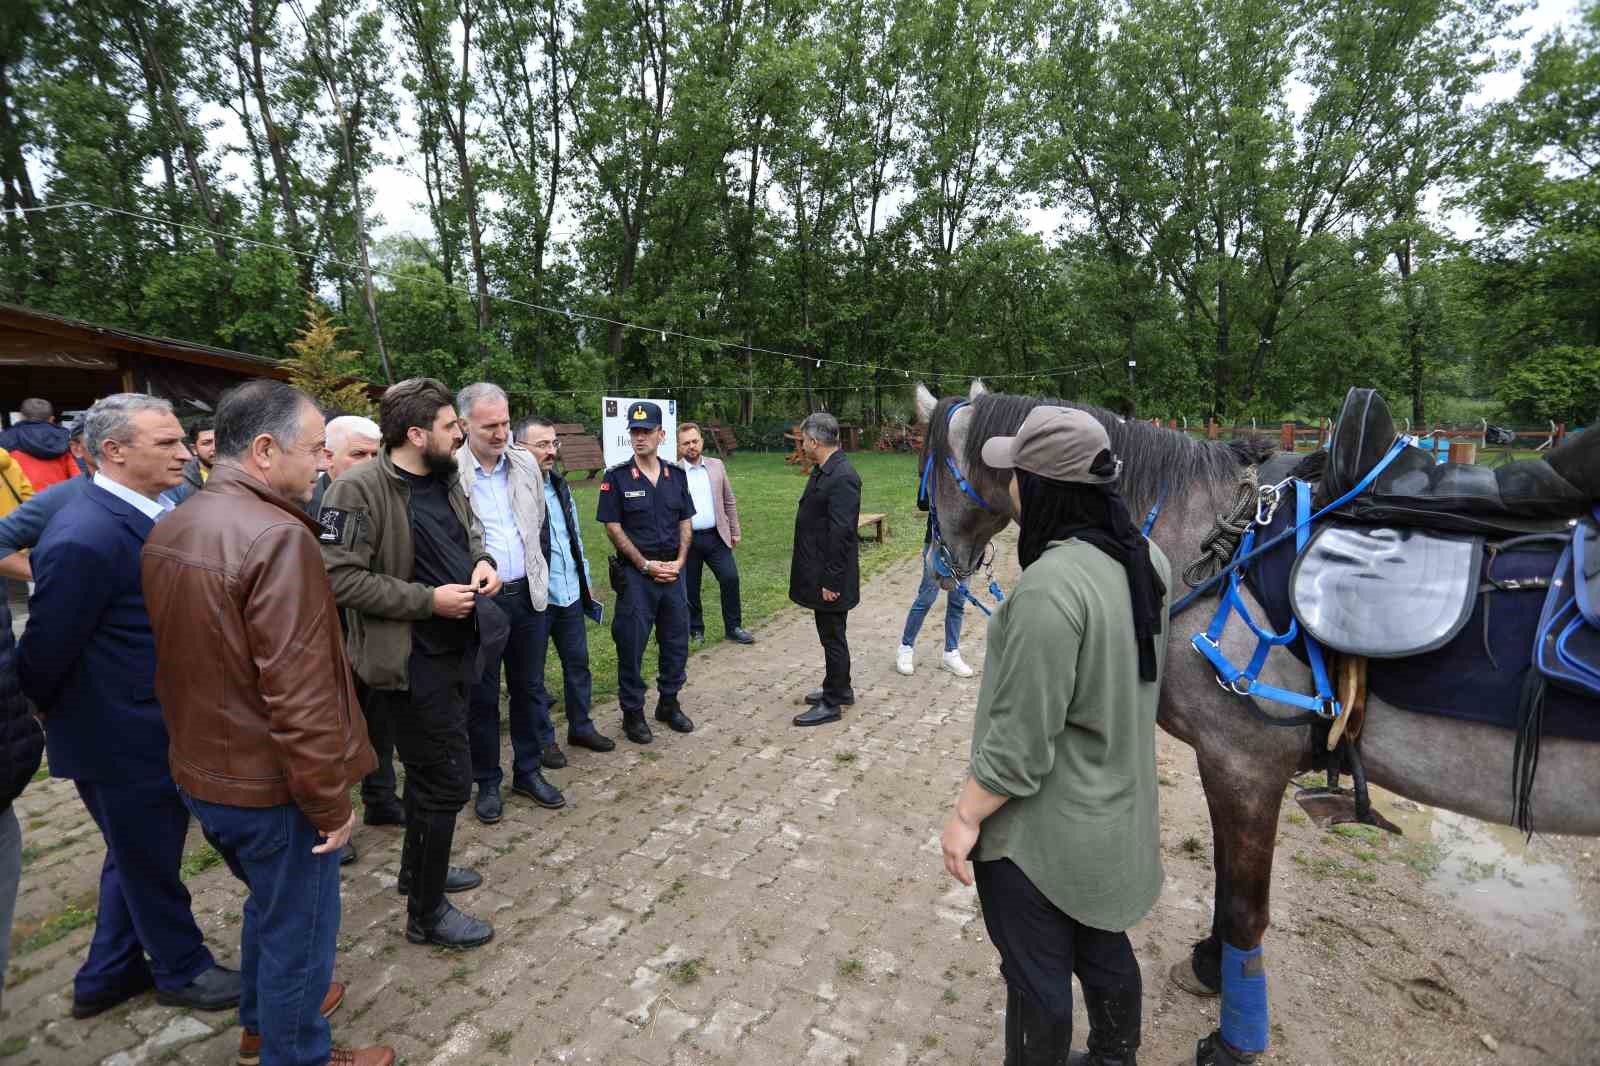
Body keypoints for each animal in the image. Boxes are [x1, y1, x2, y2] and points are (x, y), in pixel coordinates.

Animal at [915, 382, 1600, 1062]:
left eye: (930, 473)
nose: (940, 565)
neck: (1203, 533)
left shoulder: (1246, 762)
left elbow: (1246, 905)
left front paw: (1234, 1038)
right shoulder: (1229, 765)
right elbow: (1225, 880)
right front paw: (1210, 965)